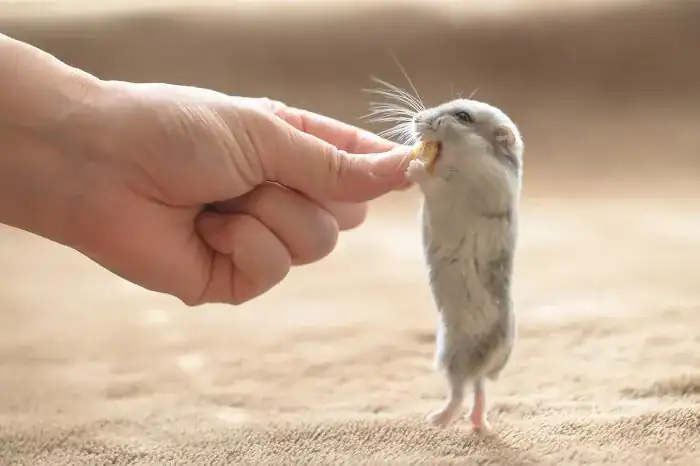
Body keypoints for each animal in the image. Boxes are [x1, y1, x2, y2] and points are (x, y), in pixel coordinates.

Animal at [405, 99, 524, 433]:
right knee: (478, 389)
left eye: (463, 116)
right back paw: (480, 425)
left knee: (460, 392)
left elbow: (433, 182)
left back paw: (437, 420)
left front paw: (412, 167)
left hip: (452, 355)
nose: (416, 118)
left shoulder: (460, 187)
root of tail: (493, 359)